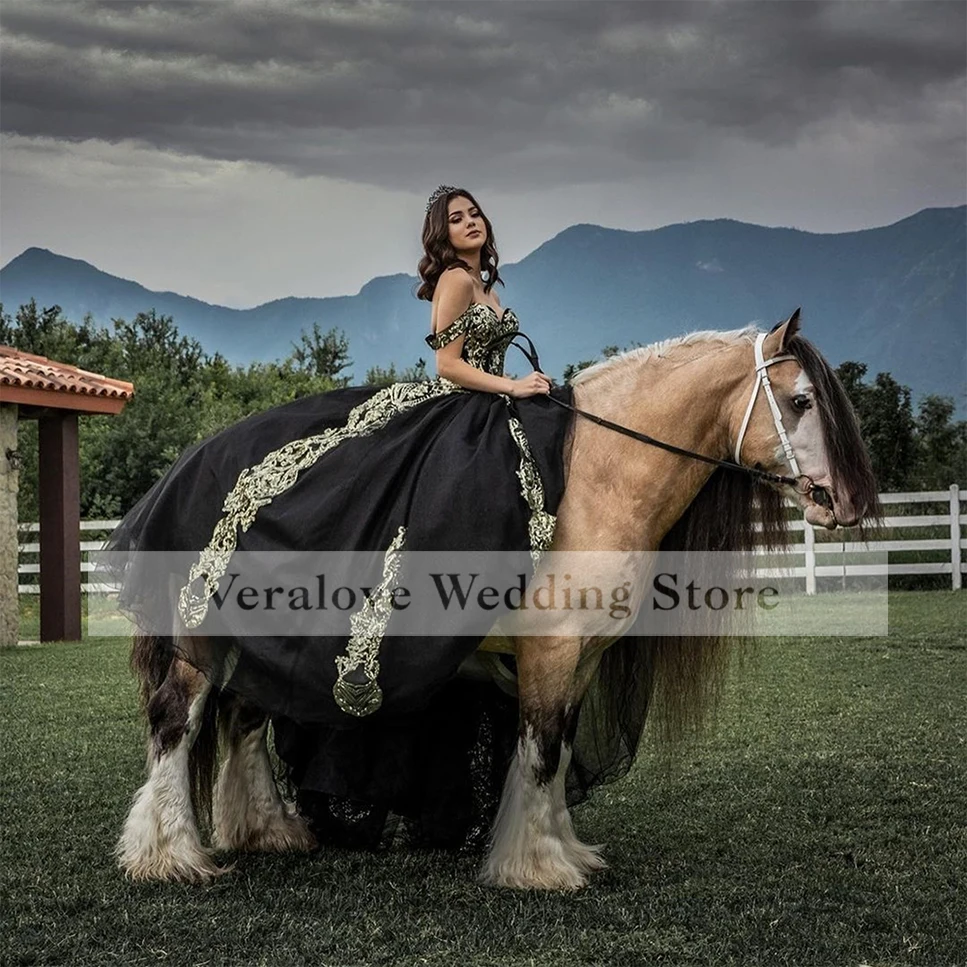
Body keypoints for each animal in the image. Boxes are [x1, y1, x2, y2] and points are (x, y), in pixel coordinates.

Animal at [117, 312, 880, 892]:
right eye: (801, 401)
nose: (846, 502)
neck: (596, 473)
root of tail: (182, 469)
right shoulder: (551, 648)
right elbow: (540, 751)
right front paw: (538, 868)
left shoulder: (581, 656)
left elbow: (557, 748)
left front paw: (564, 852)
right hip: (199, 638)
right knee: (175, 722)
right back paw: (169, 856)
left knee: (243, 718)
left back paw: (266, 832)